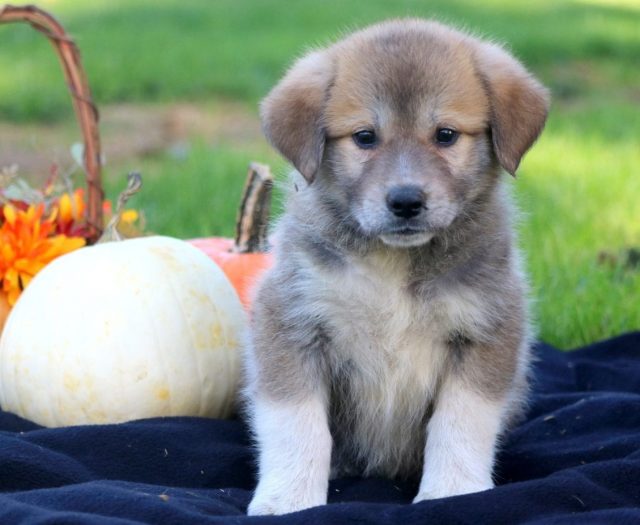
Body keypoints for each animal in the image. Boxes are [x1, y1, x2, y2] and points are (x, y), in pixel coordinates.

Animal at [245, 18, 552, 512]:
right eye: (365, 137)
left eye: (445, 135)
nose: (406, 201)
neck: (395, 263)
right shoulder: (291, 323)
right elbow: (297, 426)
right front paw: (289, 498)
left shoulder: (486, 329)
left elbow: (460, 423)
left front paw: (453, 491)